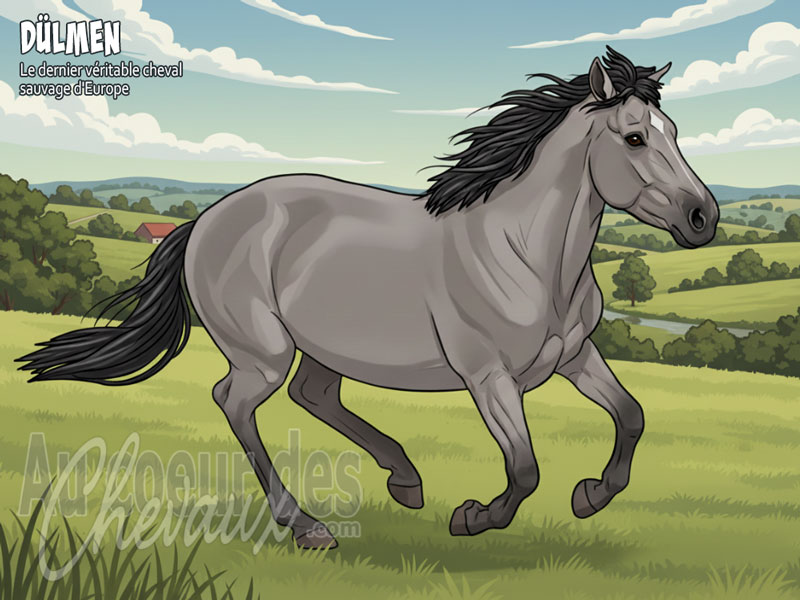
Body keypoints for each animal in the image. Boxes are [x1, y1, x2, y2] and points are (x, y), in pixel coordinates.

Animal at [18, 47, 719, 549]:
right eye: (635, 138)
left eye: (674, 131)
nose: (703, 217)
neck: (526, 255)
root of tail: (206, 219)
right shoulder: (488, 376)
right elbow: (524, 467)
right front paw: (473, 517)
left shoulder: (574, 356)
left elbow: (632, 417)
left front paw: (590, 495)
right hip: (263, 352)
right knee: (235, 401)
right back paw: (308, 527)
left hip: (324, 344)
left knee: (313, 396)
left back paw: (404, 481)